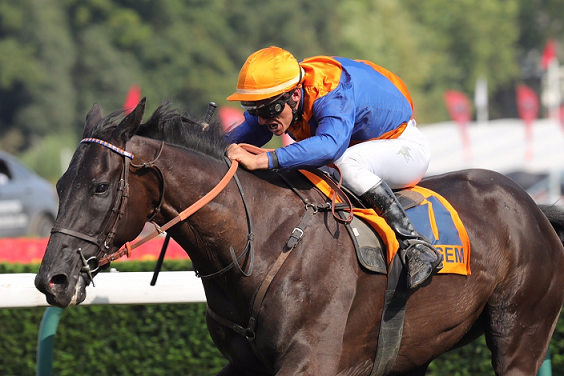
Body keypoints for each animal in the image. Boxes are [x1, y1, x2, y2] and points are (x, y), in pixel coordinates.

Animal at [34, 98, 564, 374]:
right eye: (59, 185)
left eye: (100, 187)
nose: (51, 280)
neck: (259, 245)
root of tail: (532, 208)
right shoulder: (245, 364)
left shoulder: (311, 359)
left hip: (520, 333)